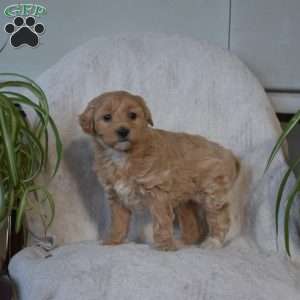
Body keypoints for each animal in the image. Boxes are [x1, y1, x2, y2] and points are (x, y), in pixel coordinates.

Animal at [79, 90, 244, 250]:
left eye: (132, 115)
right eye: (107, 117)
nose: (123, 131)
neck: (123, 155)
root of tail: (227, 152)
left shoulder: (157, 191)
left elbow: (161, 221)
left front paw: (165, 246)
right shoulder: (116, 195)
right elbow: (118, 221)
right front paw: (113, 241)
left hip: (212, 192)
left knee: (220, 217)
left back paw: (213, 242)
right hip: (186, 199)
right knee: (192, 224)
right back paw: (183, 242)